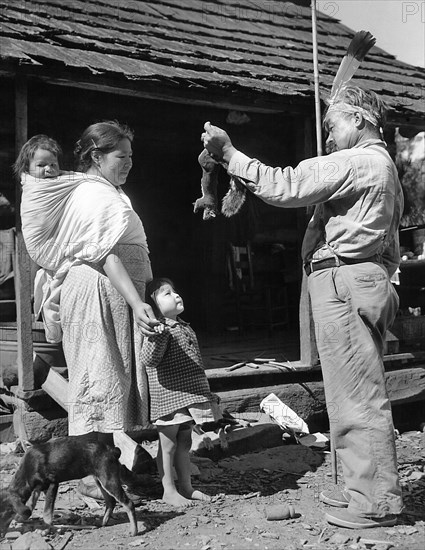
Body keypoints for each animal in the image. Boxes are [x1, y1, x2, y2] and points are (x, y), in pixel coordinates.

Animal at [0, 438, 137, 536]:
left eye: (4, 514)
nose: (1, 535)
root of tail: (112, 450)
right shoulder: (38, 488)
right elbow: (31, 504)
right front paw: (20, 518)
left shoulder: (52, 484)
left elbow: (47, 513)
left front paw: (45, 530)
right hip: (99, 479)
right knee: (111, 501)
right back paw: (103, 522)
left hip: (108, 479)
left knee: (128, 503)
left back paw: (133, 531)